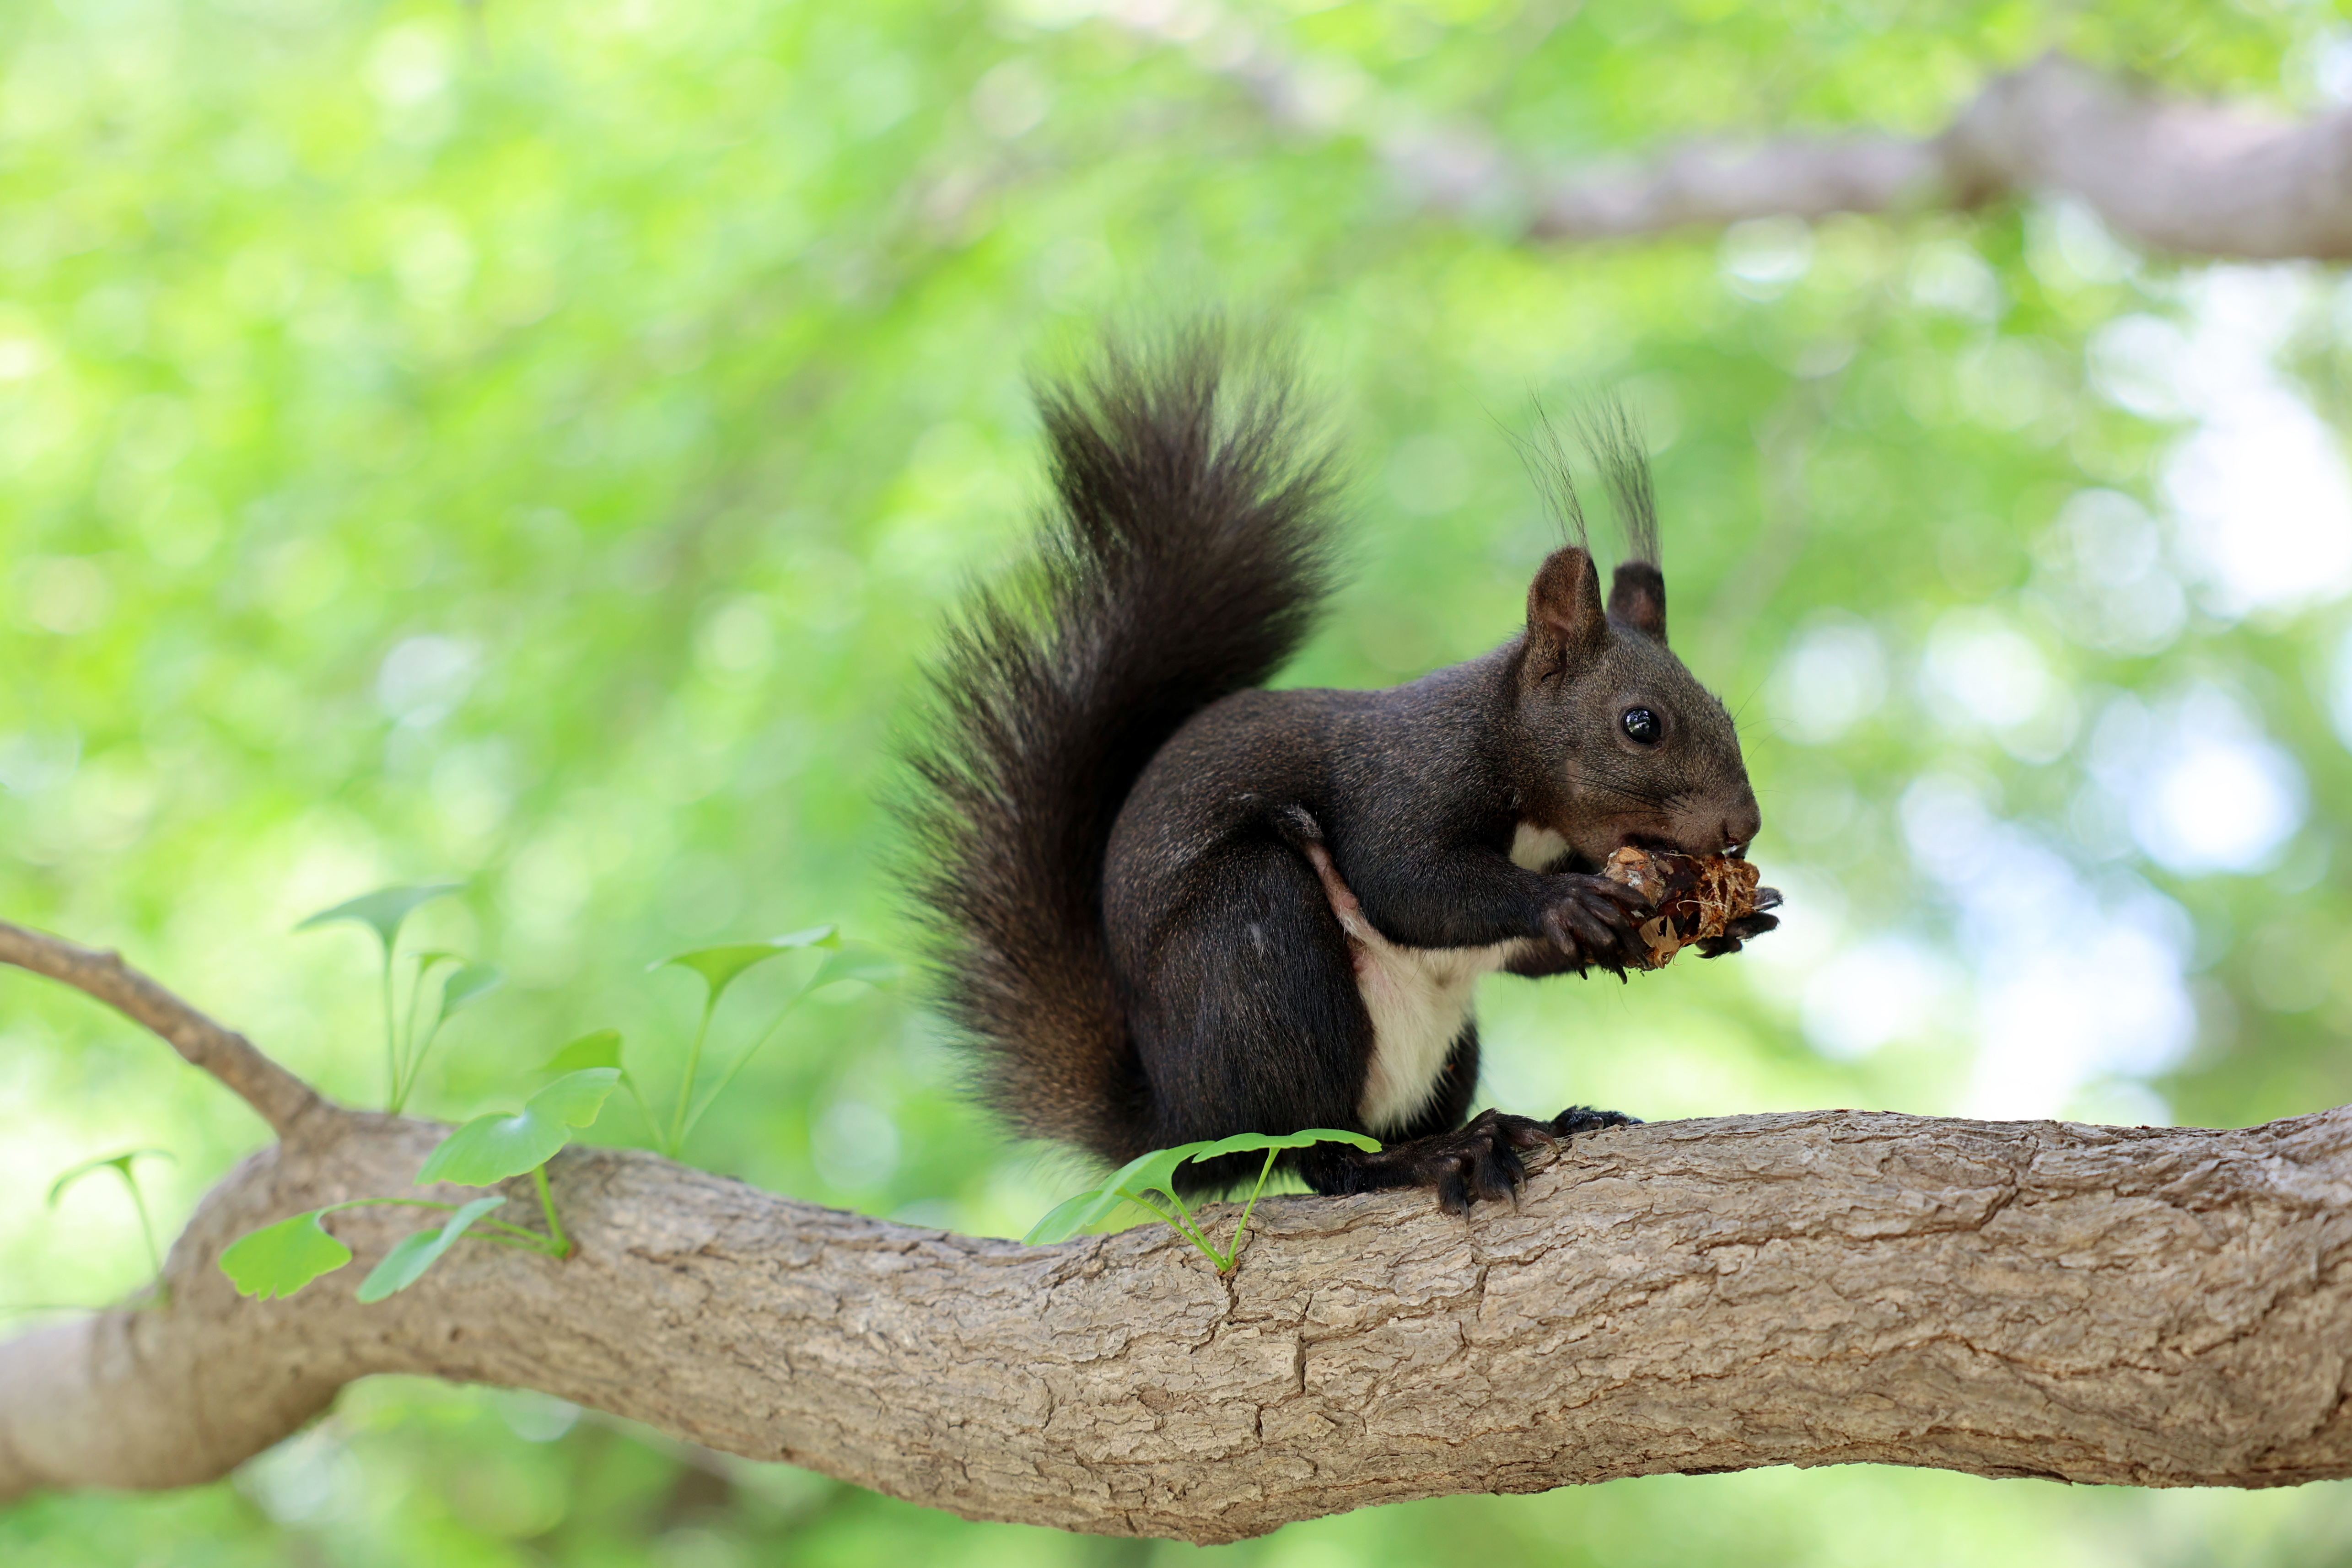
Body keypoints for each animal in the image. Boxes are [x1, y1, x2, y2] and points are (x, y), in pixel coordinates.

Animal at [899, 328, 1774, 1213]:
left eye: (1723, 711)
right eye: (1641, 725)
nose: (1744, 826)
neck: (1520, 780)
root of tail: (1179, 1126)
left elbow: (1519, 954)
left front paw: (1728, 918)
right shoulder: (1404, 782)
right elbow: (1408, 884)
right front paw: (1567, 901)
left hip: (1439, 1052)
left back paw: (1543, 1122)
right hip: (1259, 952)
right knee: (1321, 1157)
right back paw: (1444, 1153)